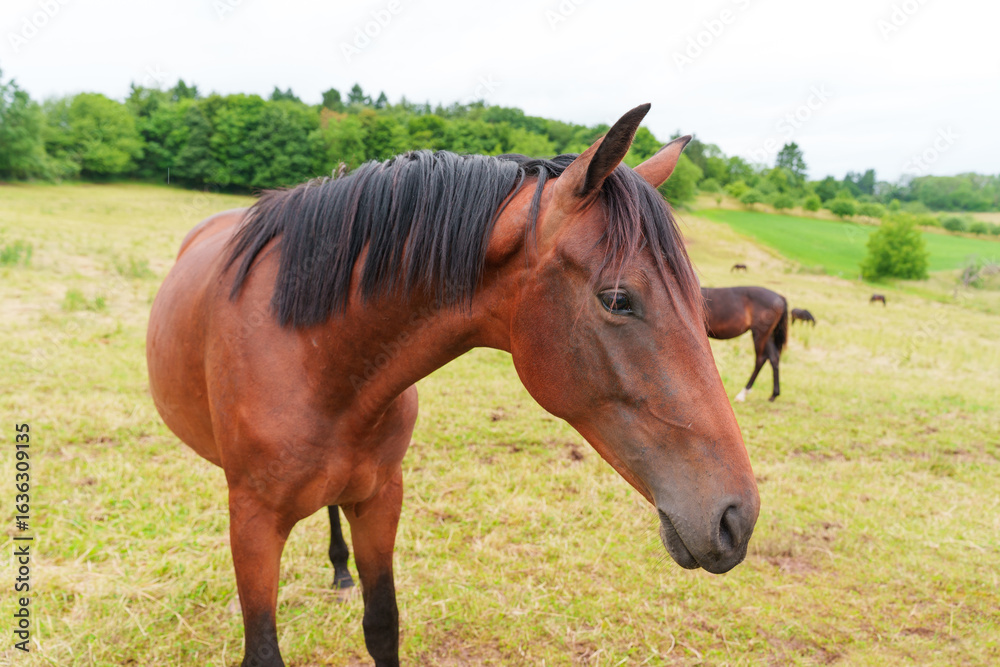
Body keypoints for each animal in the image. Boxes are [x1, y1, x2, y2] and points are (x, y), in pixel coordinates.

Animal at [146, 104, 760, 667]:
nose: (737, 517)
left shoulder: (380, 500)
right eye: (616, 299)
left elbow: (382, 626)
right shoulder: (252, 526)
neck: (314, 360)